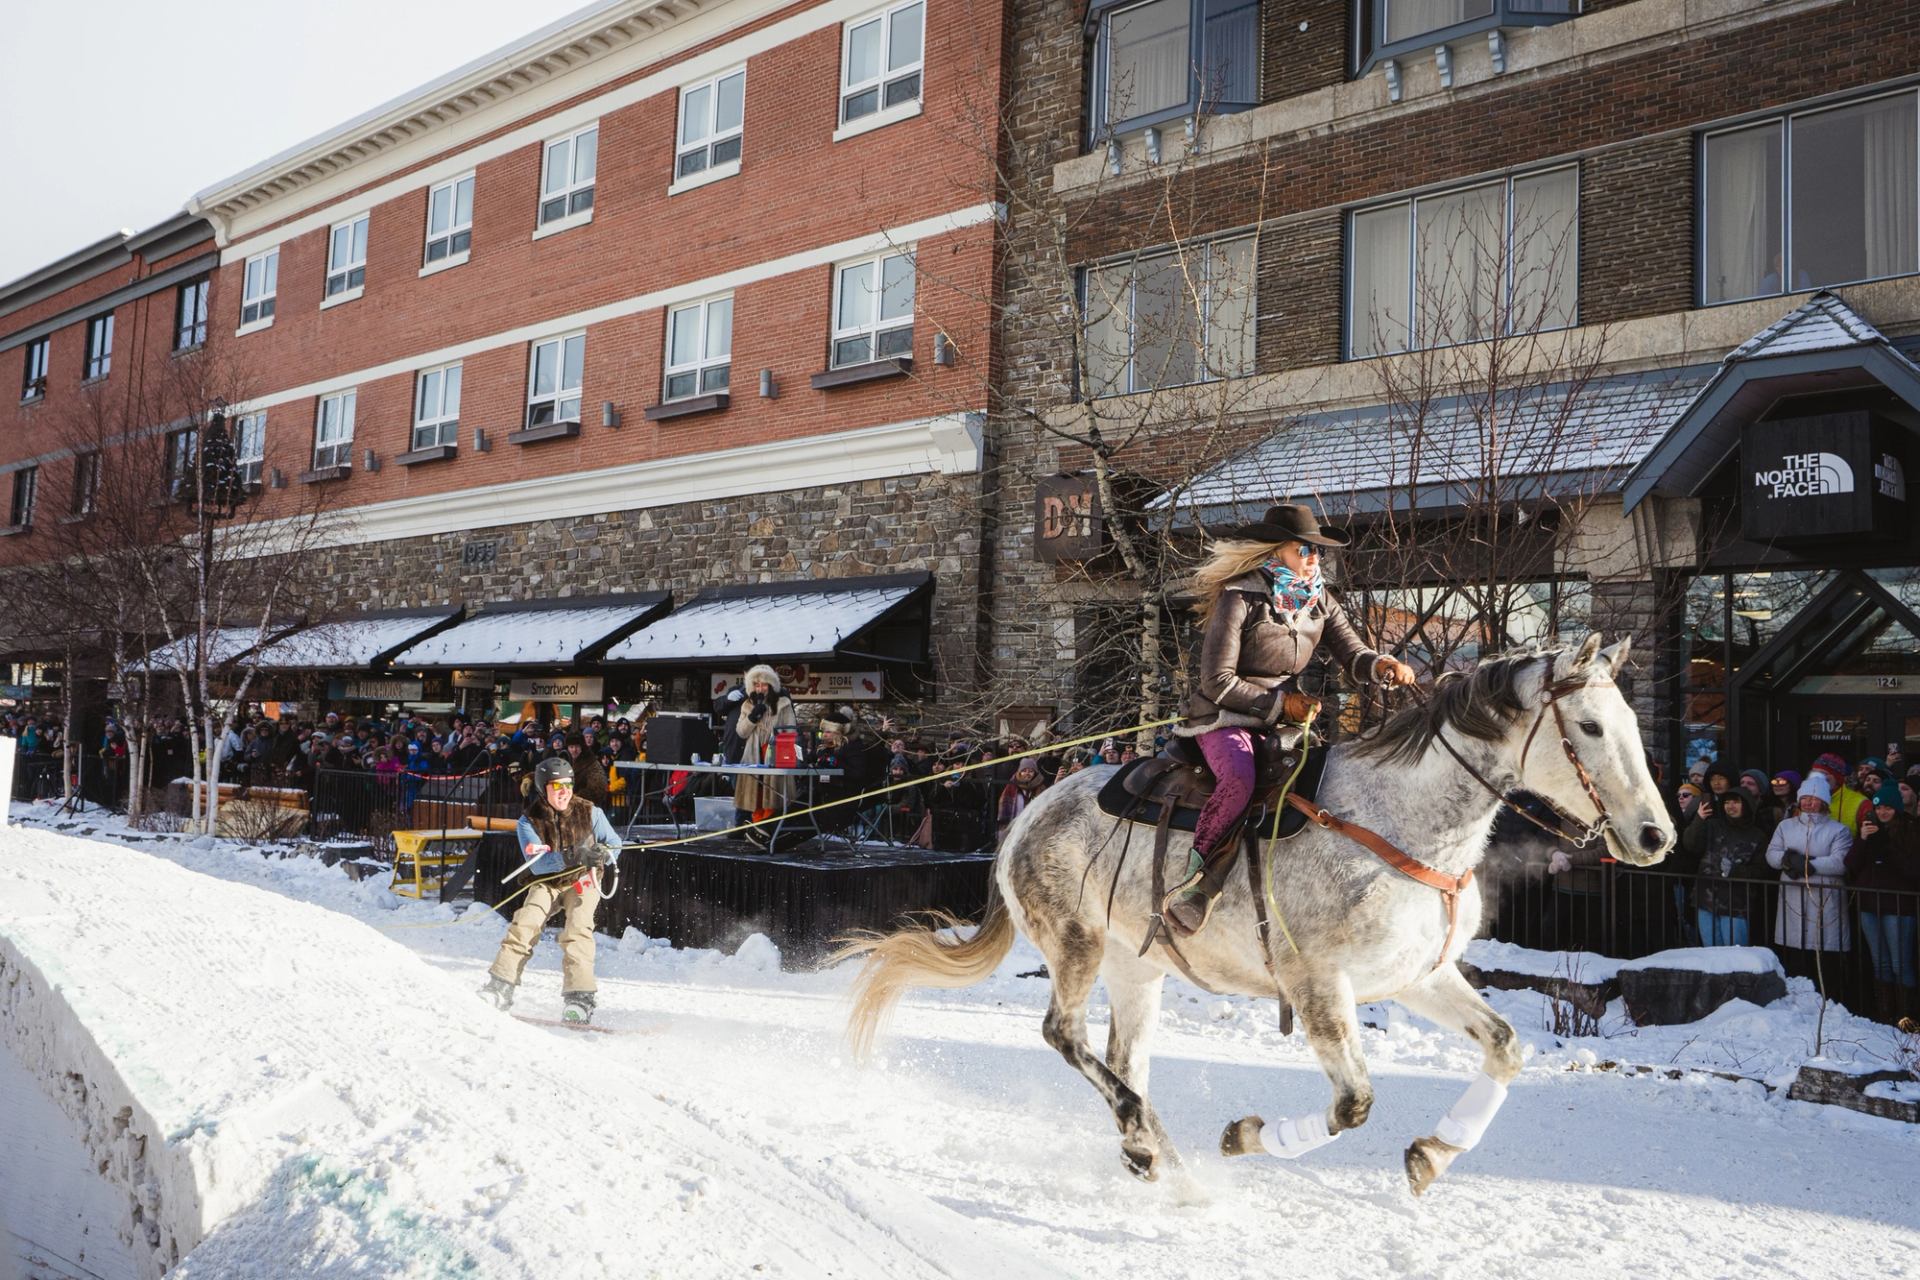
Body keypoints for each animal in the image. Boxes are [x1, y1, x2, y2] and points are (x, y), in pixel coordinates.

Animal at [848, 637, 1674, 1197]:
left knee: (1124, 1061)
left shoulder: (1419, 976)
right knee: (1065, 1036)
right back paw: (1147, 1140)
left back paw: (1154, 1152)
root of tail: (1025, 817)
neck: (1396, 822)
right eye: (1590, 728)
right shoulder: (1318, 985)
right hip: (1076, 945)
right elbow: (1352, 1104)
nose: (1655, 836)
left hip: (1137, 968)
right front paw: (1245, 1137)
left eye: (1629, 721)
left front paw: (1433, 1153)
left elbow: (1504, 1047)